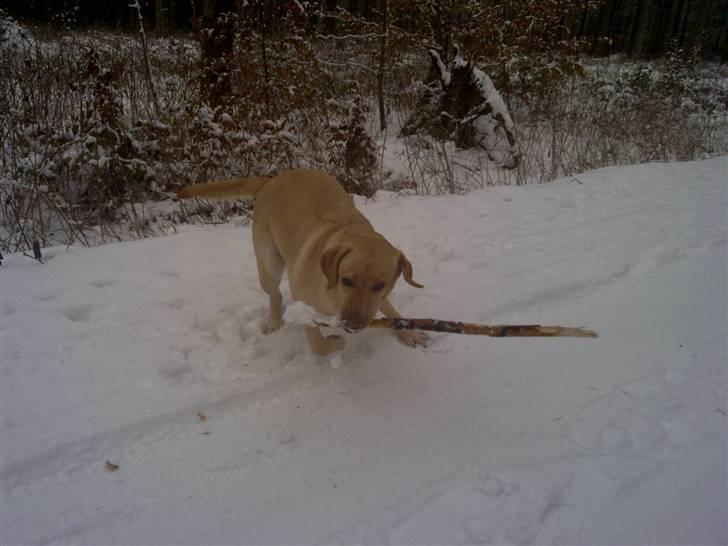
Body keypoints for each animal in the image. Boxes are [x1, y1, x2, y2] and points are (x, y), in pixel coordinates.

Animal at [178, 170, 426, 356]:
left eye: (380, 285)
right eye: (346, 280)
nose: (351, 324)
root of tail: (272, 179)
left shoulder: (376, 299)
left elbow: (390, 309)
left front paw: (410, 332)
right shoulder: (305, 306)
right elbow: (319, 346)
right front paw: (336, 342)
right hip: (269, 263)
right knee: (275, 294)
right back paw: (274, 321)